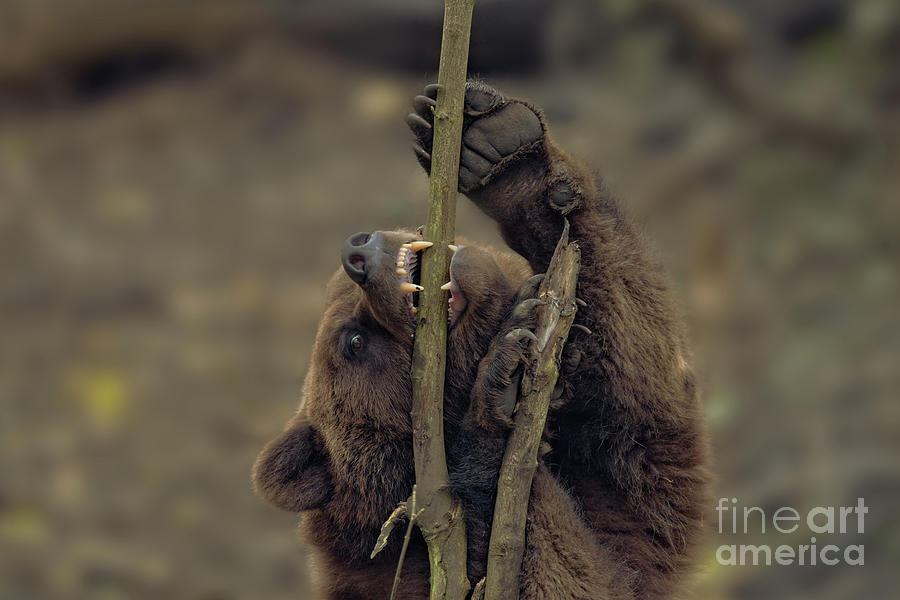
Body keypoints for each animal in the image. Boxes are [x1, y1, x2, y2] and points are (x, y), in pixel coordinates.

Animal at [252, 81, 710, 599]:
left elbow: (641, 391)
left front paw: (495, 145)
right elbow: (556, 570)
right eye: (352, 342)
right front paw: (501, 381)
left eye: (341, 291)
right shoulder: (408, 570)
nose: (357, 251)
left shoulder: (629, 499)